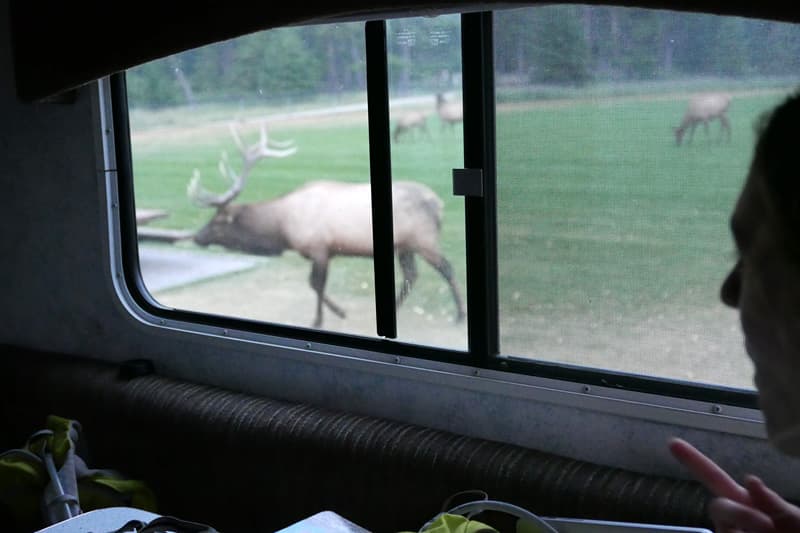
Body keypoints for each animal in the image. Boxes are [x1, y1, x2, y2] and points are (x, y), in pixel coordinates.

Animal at [188, 121, 466, 328]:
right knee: (411, 274)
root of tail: (439, 203)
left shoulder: (319, 248)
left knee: (446, 268)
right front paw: (337, 312)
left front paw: (320, 319)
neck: (283, 228)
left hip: (424, 239)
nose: (197, 237)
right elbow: (315, 284)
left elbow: (316, 284)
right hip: (405, 245)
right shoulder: (326, 251)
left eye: (216, 222)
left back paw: (460, 314)